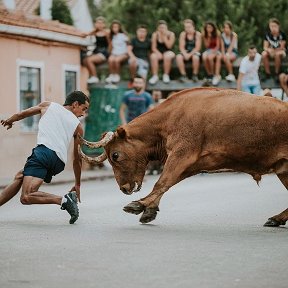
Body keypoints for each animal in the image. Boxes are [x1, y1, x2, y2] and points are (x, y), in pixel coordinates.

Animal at [80, 86, 288, 226]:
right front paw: (149, 210)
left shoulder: (182, 154)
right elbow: (167, 183)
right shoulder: (191, 164)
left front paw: (138, 205)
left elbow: (162, 182)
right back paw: (276, 219)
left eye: (115, 155)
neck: (169, 118)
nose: (124, 188)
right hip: (283, 169)